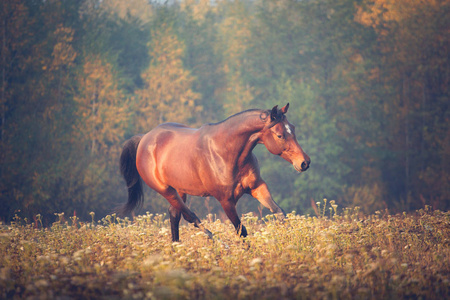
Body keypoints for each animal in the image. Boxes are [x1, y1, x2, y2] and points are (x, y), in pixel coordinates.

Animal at [118, 103, 310, 241]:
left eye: (293, 128)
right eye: (280, 135)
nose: (304, 162)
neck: (226, 151)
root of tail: (144, 139)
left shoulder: (257, 187)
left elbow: (280, 214)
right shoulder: (226, 201)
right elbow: (242, 230)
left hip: (180, 189)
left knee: (175, 214)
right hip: (166, 190)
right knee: (190, 216)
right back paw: (215, 241)